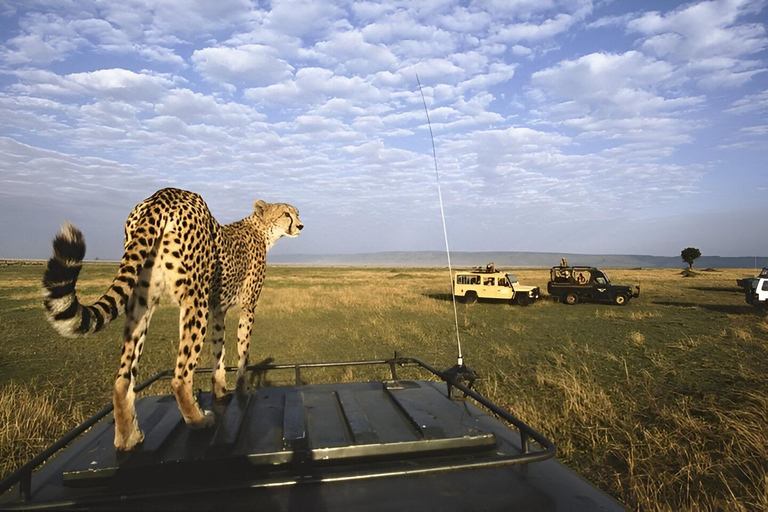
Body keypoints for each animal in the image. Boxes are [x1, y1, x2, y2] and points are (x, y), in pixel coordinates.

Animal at [42, 189, 304, 452]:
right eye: (286, 213)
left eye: (296, 213)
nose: (301, 225)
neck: (261, 230)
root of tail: (163, 195)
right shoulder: (247, 307)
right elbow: (242, 352)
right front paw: (244, 389)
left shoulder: (218, 310)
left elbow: (218, 351)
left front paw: (220, 390)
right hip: (195, 299)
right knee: (180, 376)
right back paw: (198, 420)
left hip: (142, 301)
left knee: (122, 379)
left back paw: (128, 437)